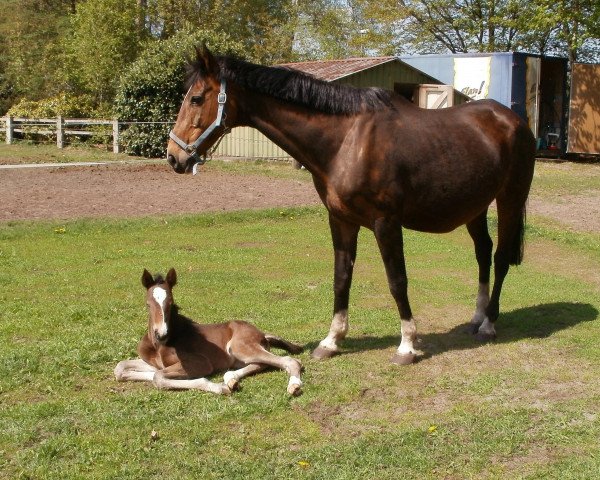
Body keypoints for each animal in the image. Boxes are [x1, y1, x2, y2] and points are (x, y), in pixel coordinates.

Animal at [114, 268, 304, 396]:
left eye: (171, 303)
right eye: (148, 304)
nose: (162, 334)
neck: (159, 345)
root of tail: (261, 333)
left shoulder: (201, 362)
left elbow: (158, 377)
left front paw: (218, 387)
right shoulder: (155, 363)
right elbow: (121, 368)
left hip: (240, 347)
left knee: (290, 361)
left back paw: (294, 386)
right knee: (260, 364)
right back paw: (231, 380)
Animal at [165, 47, 536, 366]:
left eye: (196, 98)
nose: (174, 157)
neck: (347, 140)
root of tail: (512, 119)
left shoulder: (386, 223)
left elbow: (397, 281)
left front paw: (407, 345)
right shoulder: (341, 220)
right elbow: (341, 278)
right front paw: (331, 341)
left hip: (510, 199)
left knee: (500, 256)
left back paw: (488, 324)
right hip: (475, 207)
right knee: (483, 253)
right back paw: (476, 316)